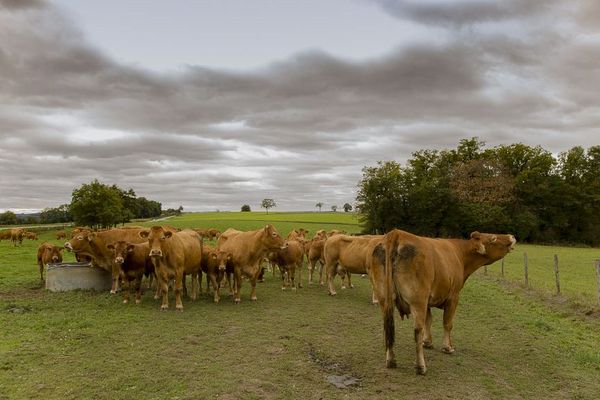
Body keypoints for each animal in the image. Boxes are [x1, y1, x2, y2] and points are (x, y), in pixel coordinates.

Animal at [370, 230, 516, 374]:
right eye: (493, 238)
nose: (511, 236)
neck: (460, 253)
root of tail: (397, 233)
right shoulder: (453, 297)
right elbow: (447, 323)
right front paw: (447, 347)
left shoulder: (428, 301)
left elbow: (429, 320)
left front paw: (428, 342)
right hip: (418, 301)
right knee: (417, 330)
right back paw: (420, 366)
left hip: (385, 299)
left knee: (388, 326)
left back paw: (391, 361)